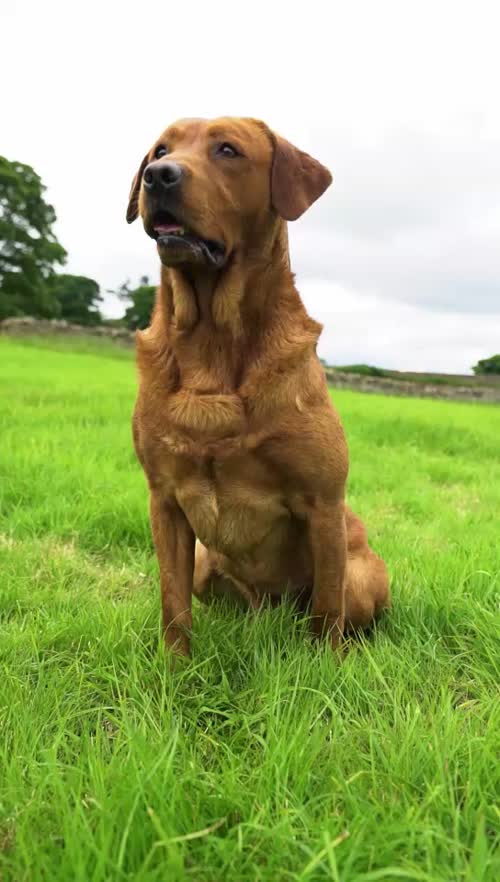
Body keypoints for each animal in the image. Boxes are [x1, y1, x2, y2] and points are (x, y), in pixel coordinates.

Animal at [126, 117, 390, 652]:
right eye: (160, 151)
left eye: (227, 150)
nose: (158, 176)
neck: (213, 343)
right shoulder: (164, 500)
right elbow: (172, 605)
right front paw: (174, 668)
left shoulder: (323, 503)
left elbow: (326, 610)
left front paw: (326, 670)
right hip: (207, 565)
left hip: (360, 573)